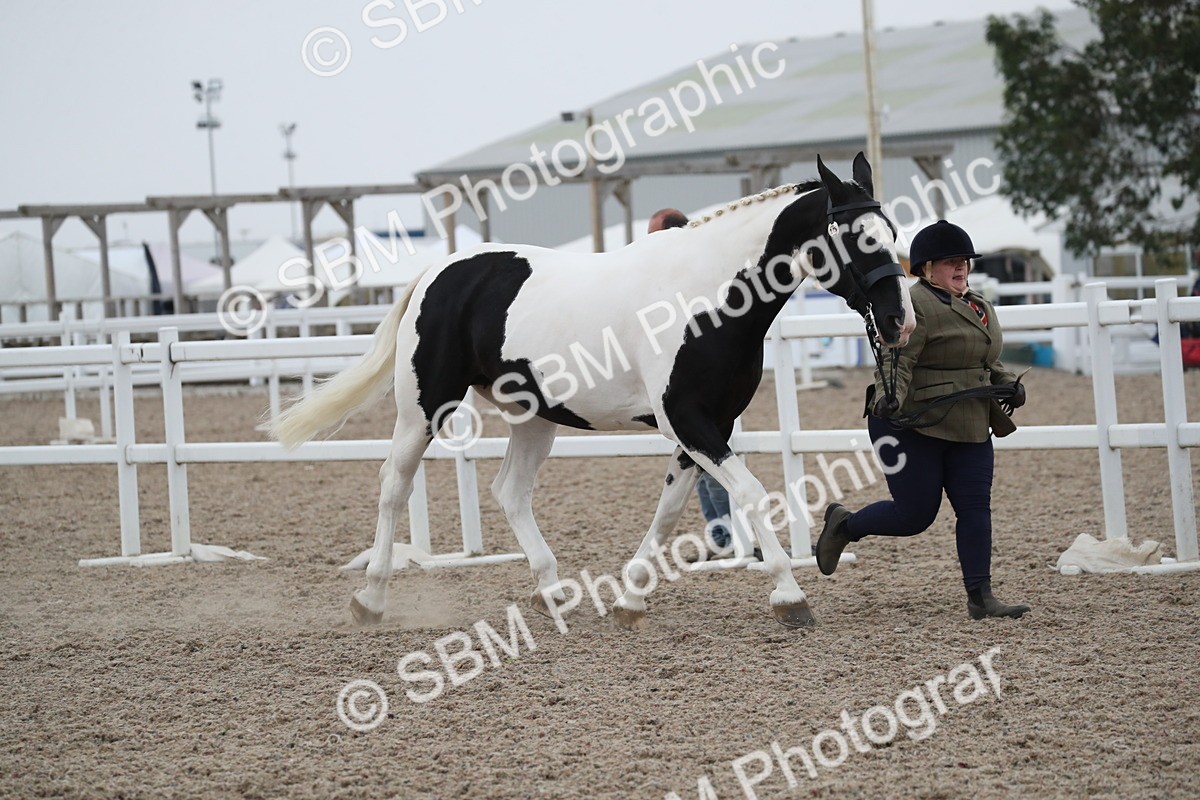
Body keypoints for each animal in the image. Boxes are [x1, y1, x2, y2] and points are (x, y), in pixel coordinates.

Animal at [271, 153, 915, 630]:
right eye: (856, 237)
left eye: (893, 232)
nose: (900, 321)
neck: (706, 299)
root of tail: (439, 271)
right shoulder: (690, 420)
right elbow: (753, 493)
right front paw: (788, 595)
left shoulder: (708, 426)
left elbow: (670, 510)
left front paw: (630, 599)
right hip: (423, 408)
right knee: (393, 486)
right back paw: (371, 600)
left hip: (535, 416)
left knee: (510, 491)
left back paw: (552, 592)